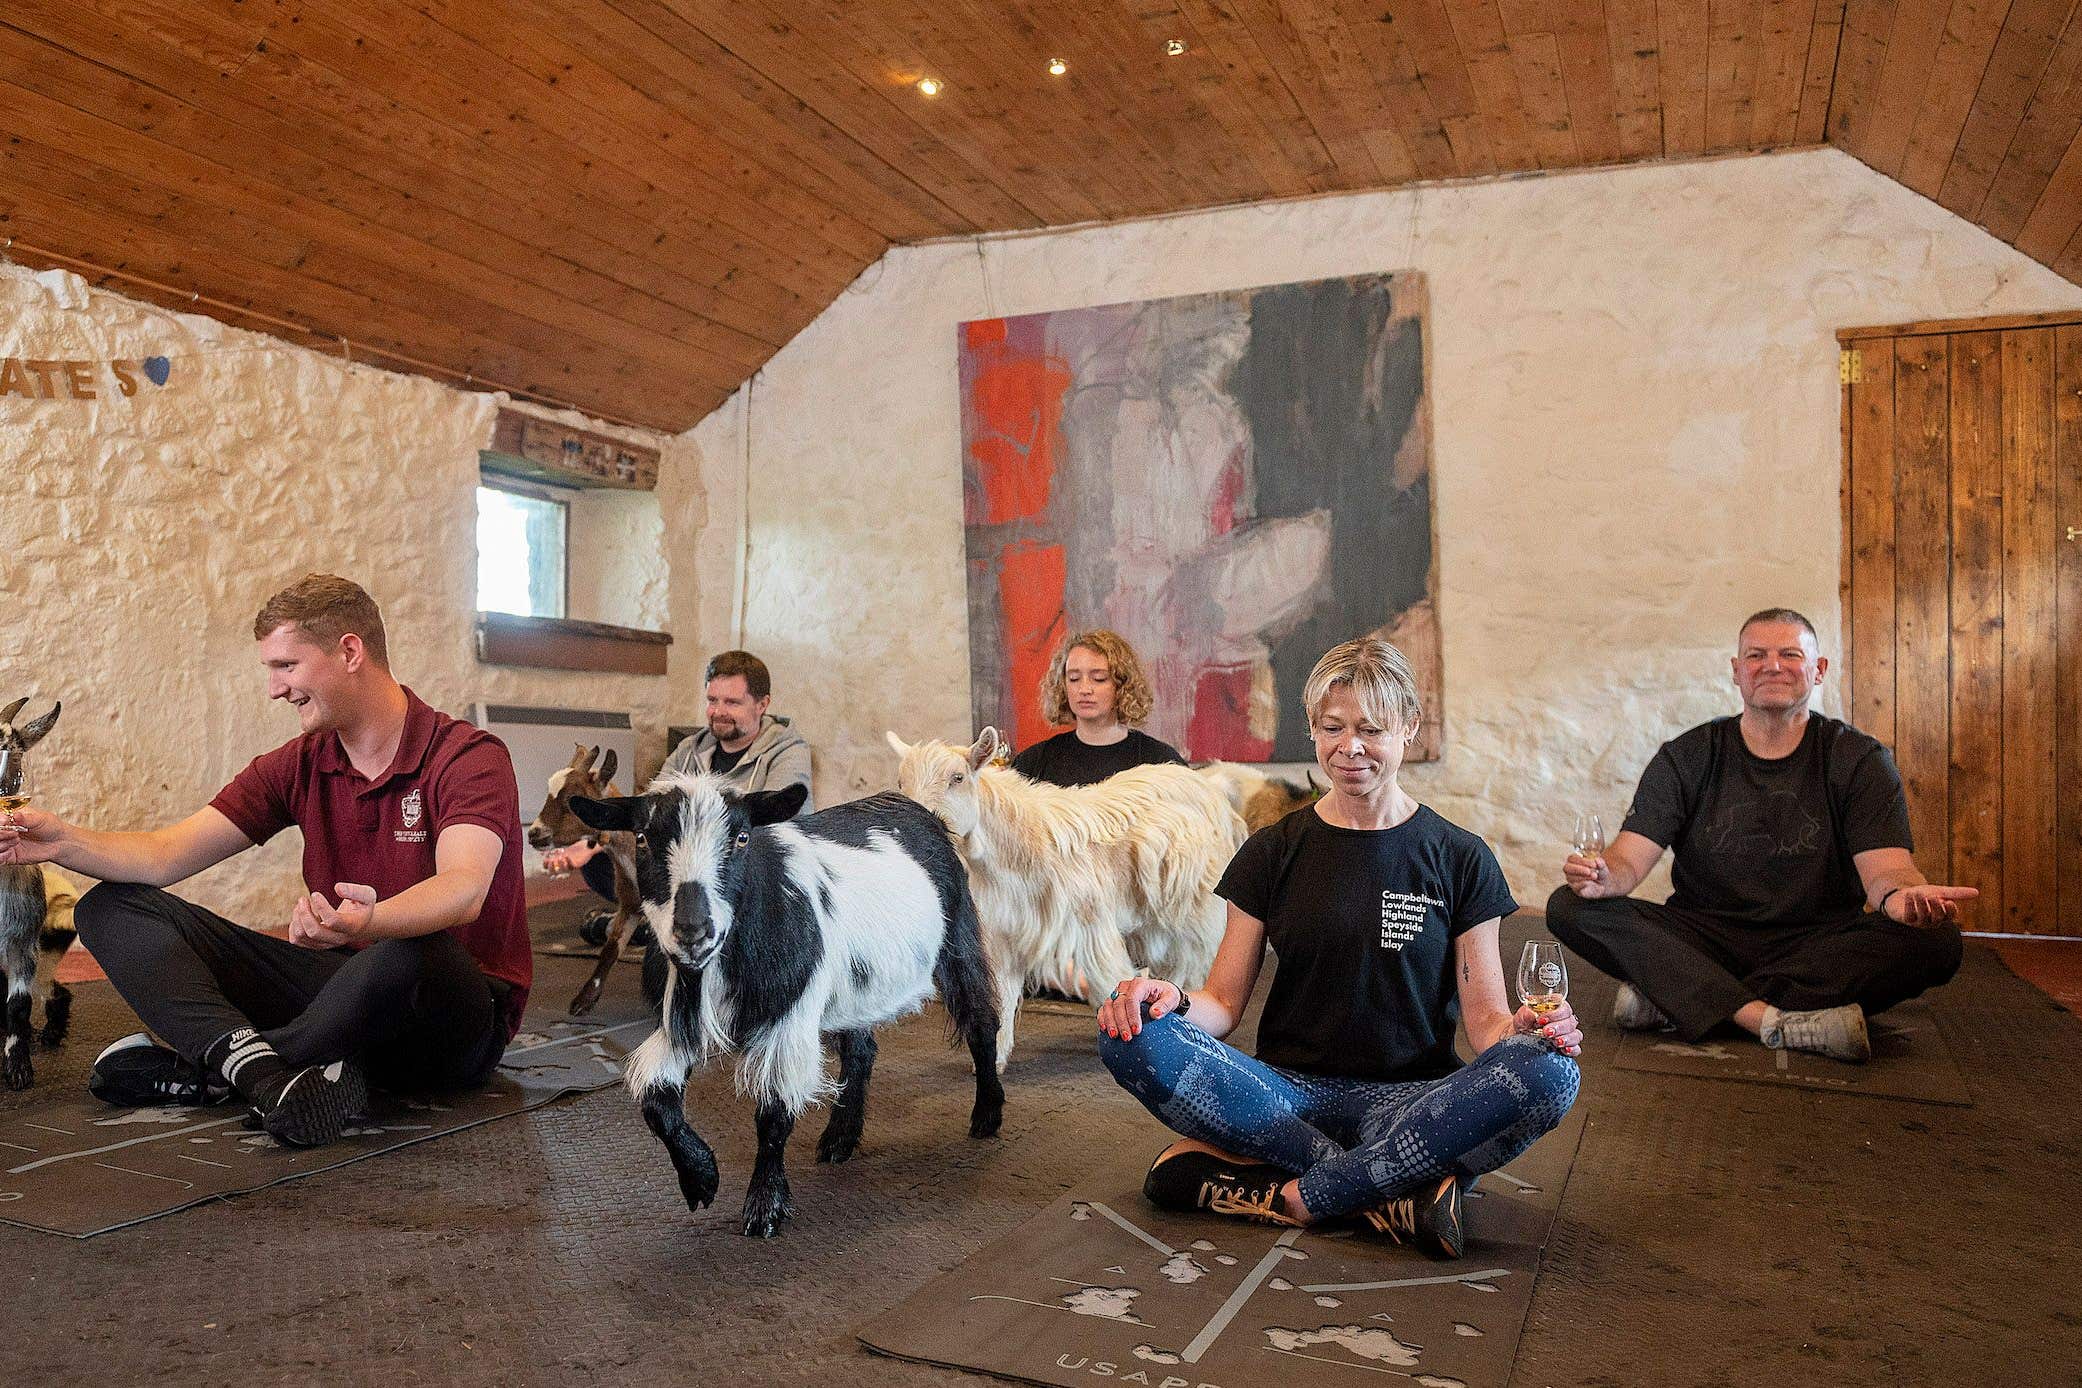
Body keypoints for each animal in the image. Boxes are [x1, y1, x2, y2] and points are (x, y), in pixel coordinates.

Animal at [574, 778, 1003, 1240]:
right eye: (641, 837)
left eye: (742, 837)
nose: (692, 930)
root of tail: (918, 808)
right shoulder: (680, 1025)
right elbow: (656, 1100)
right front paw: (701, 1179)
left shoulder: (789, 1019)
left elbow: (774, 1114)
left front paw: (765, 1207)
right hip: (853, 991)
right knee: (861, 1052)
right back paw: (839, 1139)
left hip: (958, 939)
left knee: (981, 1022)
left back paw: (987, 1116)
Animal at [886, 732, 1240, 1073]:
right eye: (901, 781)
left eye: (957, 778)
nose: (916, 824)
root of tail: (1210, 787)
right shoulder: (1003, 935)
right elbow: (1001, 996)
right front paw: (994, 1058)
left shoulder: (1089, 924)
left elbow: (1109, 977)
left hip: (1194, 905)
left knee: (1194, 956)